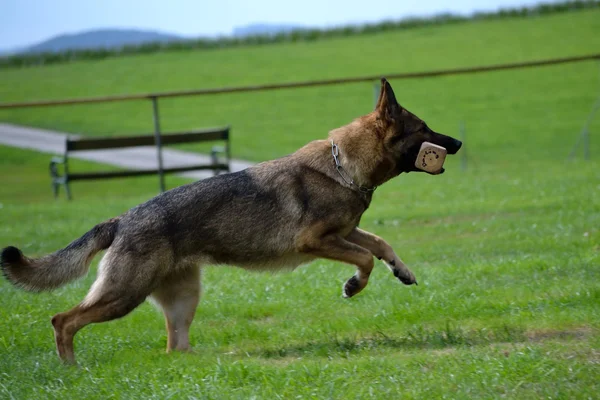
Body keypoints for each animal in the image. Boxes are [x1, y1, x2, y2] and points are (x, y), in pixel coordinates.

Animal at [1, 78, 460, 362]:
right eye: (423, 128)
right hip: (123, 294)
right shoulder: (317, 241)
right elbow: (364, 259)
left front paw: (402, 270)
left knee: (175, 348)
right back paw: (71, 368)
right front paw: (353, 286)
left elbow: (381, 243)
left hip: (182, 299)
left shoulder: (346, 233)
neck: (343, 165)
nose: (457, 142)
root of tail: (121, 219)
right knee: (63, 321)